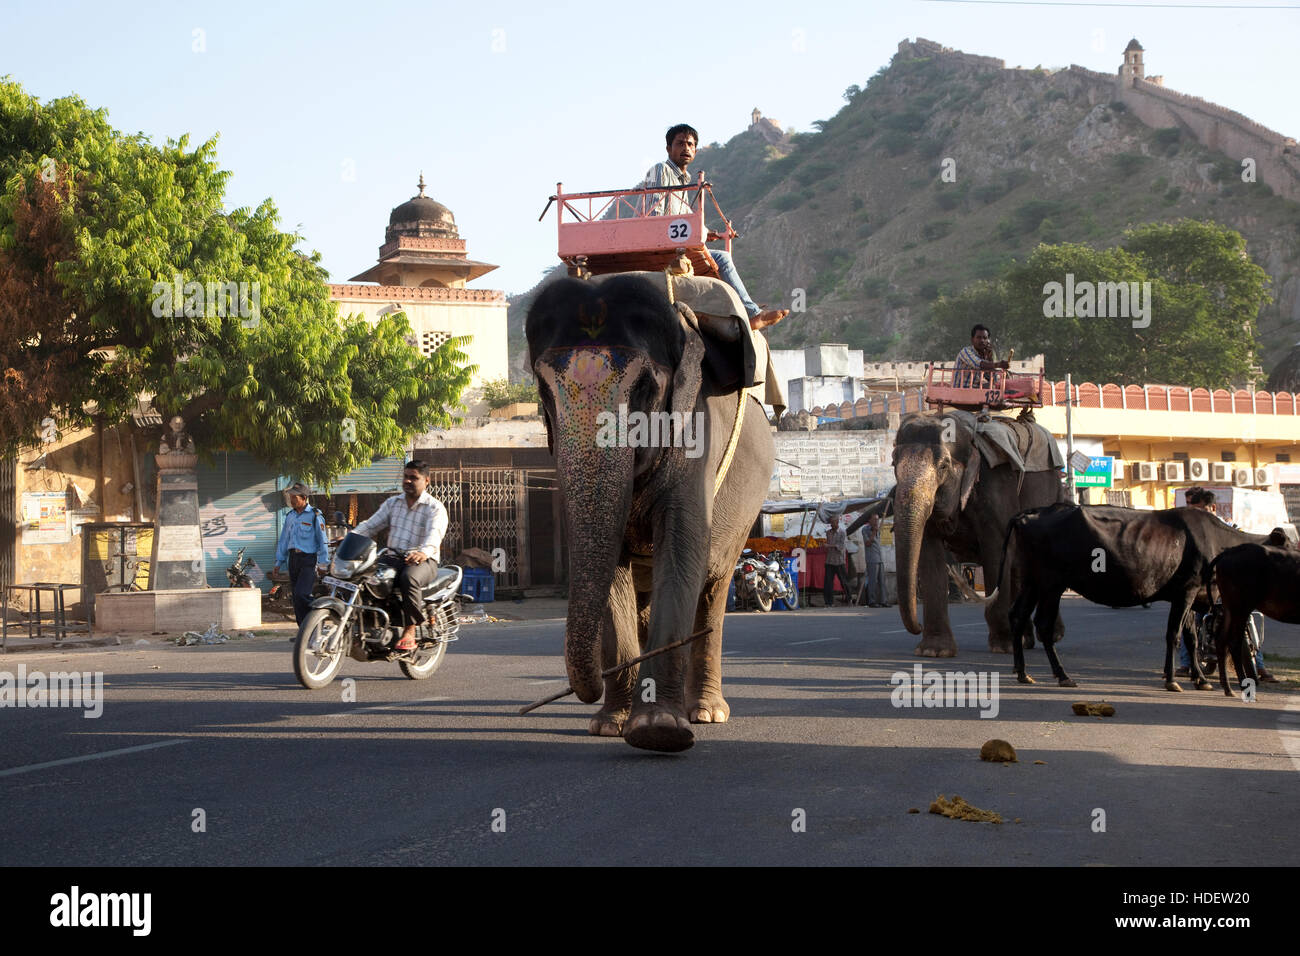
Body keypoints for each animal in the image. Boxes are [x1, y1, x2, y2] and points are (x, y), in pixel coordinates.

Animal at [525, 273, 769, 749]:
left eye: (645, 388)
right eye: (544, 392)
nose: (586, 691)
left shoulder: (696, 436)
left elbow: (681, 548)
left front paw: (659, 730)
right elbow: (612, 569)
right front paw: (610, 725)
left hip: (746, 512)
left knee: (713, 587)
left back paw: (706, 712)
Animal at [894, 411, 1066, 658]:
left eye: (943, 466)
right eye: (893, 462)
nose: (917, 626)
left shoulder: (996, 490)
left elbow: (995, 552)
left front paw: (1003, 646)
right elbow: (929, 555)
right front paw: (933, 651)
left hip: (1053, 494)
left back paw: (1051, 636)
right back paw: (1025, 639)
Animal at [998, 504, 1284, 691]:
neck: (1219, 541)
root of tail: (1029, 514)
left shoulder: (1187, 596)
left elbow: (1191, 638)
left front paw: (1200, 679)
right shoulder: (1187, 590)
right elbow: (1174, 635)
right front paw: (1172, 680)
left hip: (1032, 582)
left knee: (1017, 615)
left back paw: (1023, 673)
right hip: (1051, 584)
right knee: (1043, 625)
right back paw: (1062, 675)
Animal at [1206, 546, 1300, 697]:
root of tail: (1229, 552)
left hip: (1230, 609)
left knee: (1221, 641)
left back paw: (1228, 688)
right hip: (1241, 608)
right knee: (1234, 643)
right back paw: (1244, 687)